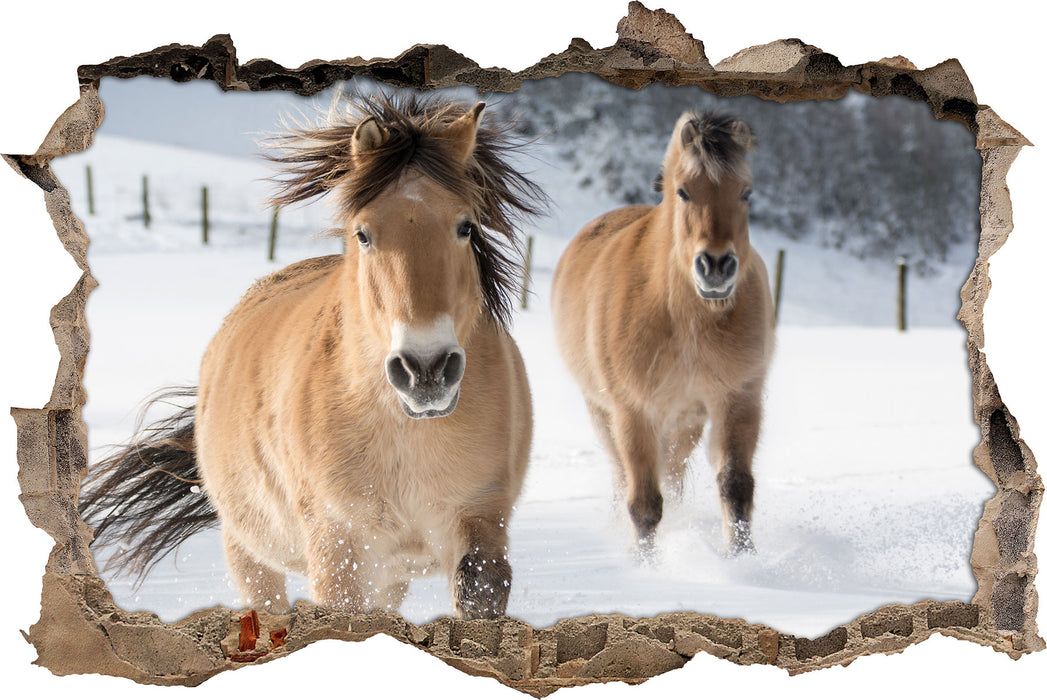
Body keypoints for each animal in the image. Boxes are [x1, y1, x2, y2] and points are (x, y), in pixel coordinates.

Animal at [79, 92, 546, 619]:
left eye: (465, 226)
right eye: (363, 234)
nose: (425, 370)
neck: (403, 434)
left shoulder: (480, 522)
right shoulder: (339, 547)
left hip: (389, 577)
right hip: (250, 552)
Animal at [551, 111, 774, 555]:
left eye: (746, 193)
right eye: (684, 191)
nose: (716, 267)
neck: (685, 321)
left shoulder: (738, 399)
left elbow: (736, 486)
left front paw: (744, 559)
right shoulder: (633, 412)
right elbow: (644, 504)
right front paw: (644, 563)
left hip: (685, 422)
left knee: (672, 475)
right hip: (603, 413)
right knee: (624, 479)